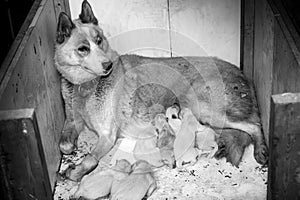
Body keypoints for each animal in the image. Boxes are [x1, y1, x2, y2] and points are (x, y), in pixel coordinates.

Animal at [54, 0, 268, 181]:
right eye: (83, 49)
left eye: (99, 41)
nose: (108, 66)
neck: (85, 86)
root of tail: (242, 75)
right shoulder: (72, 121)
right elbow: (63, 145)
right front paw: (71, 149)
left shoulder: (107, 135)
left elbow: (90, 159)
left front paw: (75, 171)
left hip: (201, 106)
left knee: (254, 125)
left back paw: (261, 150)